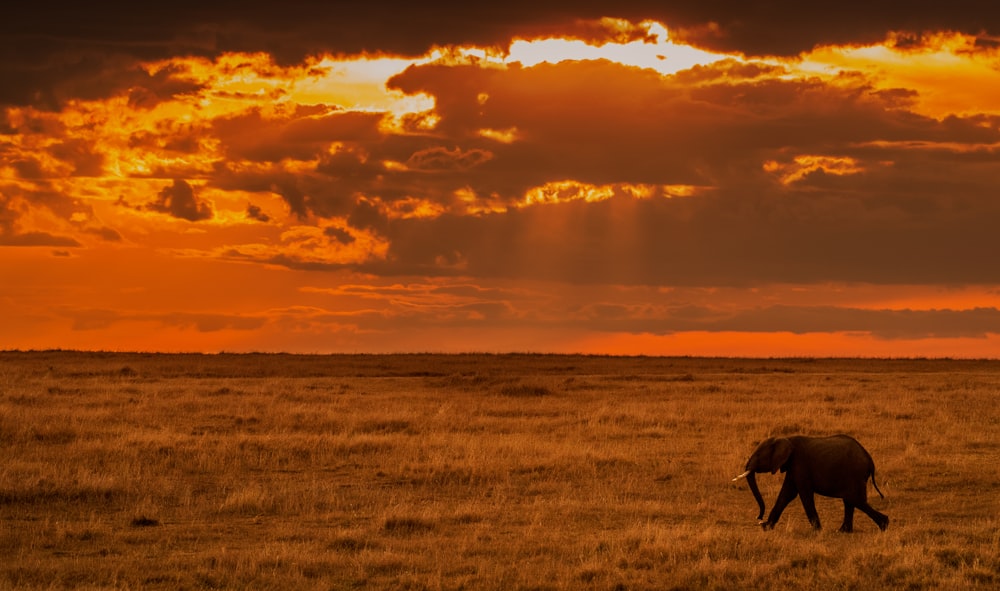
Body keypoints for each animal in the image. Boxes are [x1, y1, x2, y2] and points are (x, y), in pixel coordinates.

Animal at [732, 432, 888, 536]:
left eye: (758, 456)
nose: (759, 519)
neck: (786, 438)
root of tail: (870, 460)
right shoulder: (792, 466)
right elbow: (786, 494)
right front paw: (766, 527)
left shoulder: (799, 463)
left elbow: (804, 494)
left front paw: (817, 531)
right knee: (850, 501)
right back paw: (843, 531)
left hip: (855, 474)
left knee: (854, 499)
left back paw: (884, 525)